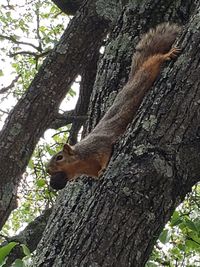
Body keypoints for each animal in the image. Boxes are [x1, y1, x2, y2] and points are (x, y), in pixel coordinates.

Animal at [47, 22, 181, 191]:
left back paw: (167, 54)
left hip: (146, 74)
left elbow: (106, 153)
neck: (82, 163)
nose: (47, 170)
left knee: (154, 60)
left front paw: (104, 169)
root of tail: (132, 79)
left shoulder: (99, 145)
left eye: (59, 157)